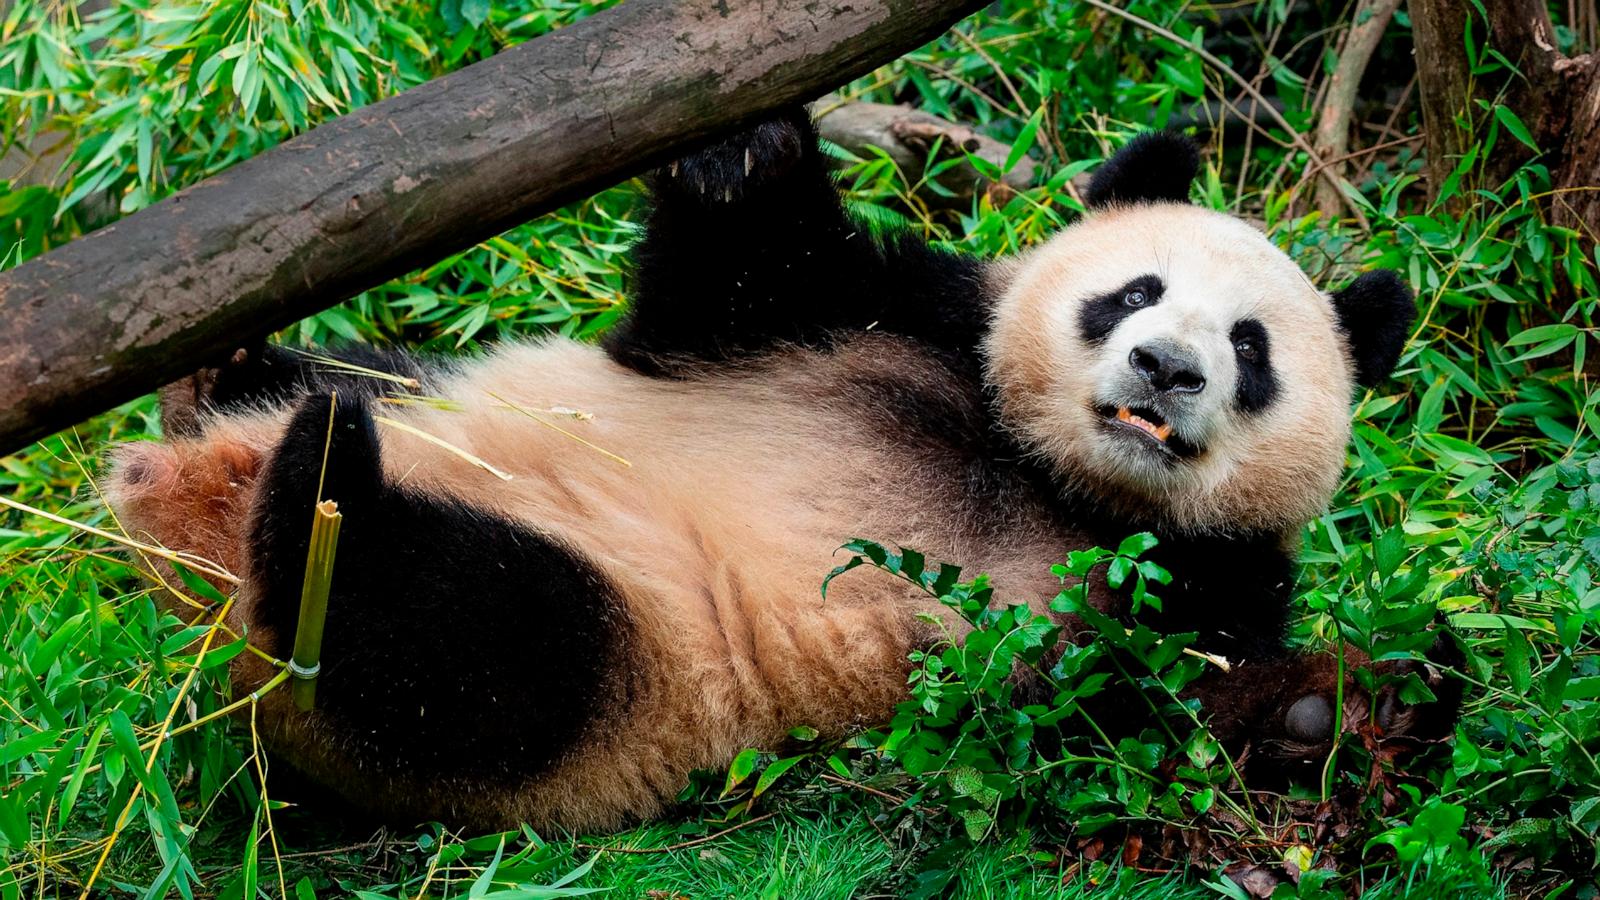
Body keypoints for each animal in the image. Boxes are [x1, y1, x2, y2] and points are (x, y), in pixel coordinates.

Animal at [106, 108, 1459, 832]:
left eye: (1252, 349)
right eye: (1134, 291)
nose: (1168, 367)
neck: (1047, 474)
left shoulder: (1179, 587)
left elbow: (1116, 725)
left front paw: (1342, 710)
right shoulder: (889, 320)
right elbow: (727, 289)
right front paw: (743, 152)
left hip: (629, 669)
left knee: (461, 643)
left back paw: (318, 504)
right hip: (428, 395)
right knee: (353, 388)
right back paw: (230, 384)